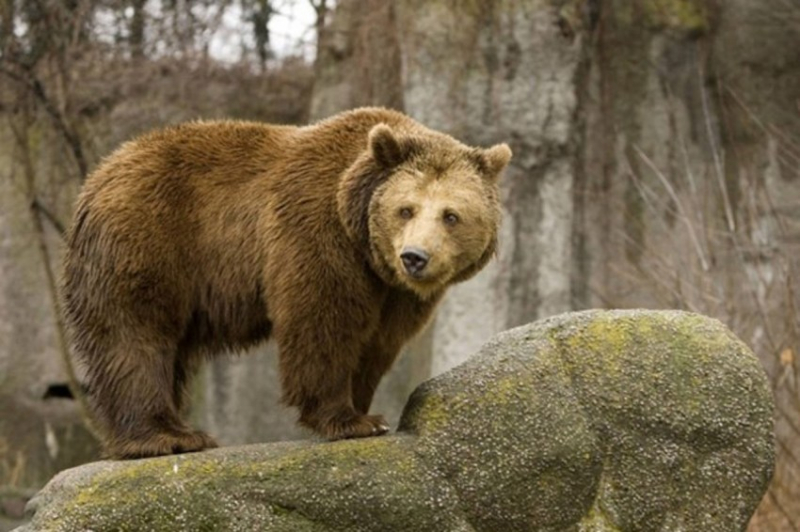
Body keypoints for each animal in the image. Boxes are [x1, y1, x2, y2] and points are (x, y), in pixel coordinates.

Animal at [62, 107, 512, 458]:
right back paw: (168, 436)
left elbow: (377, 341)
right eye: (406, 209)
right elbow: (322, 320)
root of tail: (98, 175)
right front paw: (349, 420)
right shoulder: (315, 231)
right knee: (135, 334)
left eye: (451, 215)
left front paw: (365, 409)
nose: (415, 257)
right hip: (146, 237)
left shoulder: (393, 291)